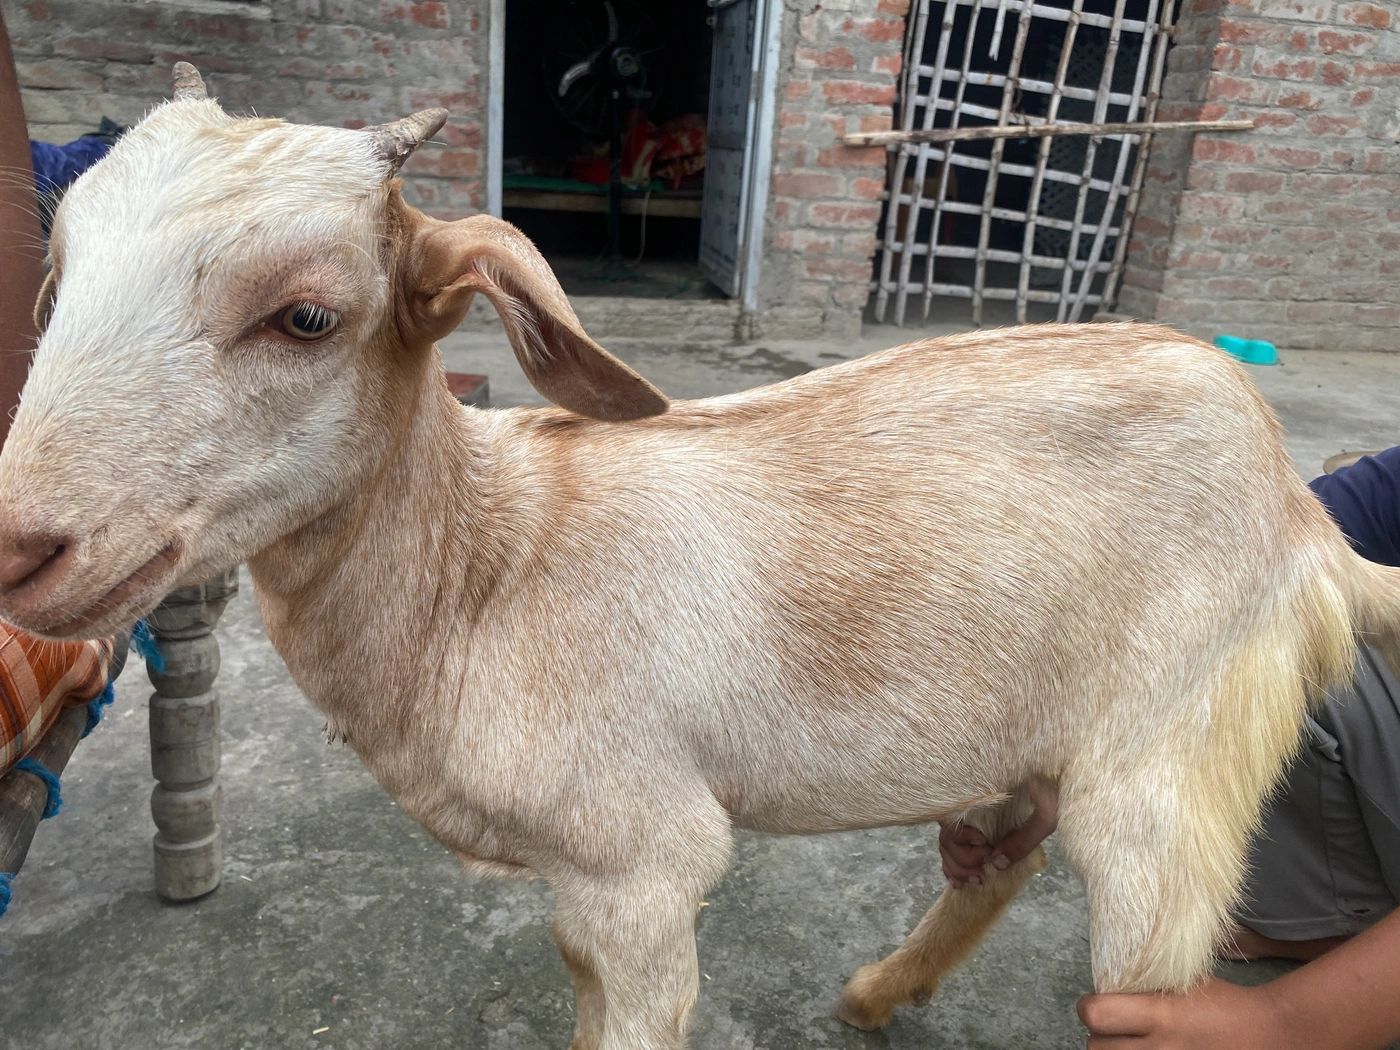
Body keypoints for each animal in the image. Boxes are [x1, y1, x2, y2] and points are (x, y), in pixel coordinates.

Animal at [0, 65, 1396, 1050]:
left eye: (305, 317)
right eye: (56, 278)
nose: (20, 543)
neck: (485, 570)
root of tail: (1304, 517)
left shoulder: (639, 861)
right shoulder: (583, 889)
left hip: (1167, 760)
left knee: (1143, 983)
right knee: (1003, 861)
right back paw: (878, 993)